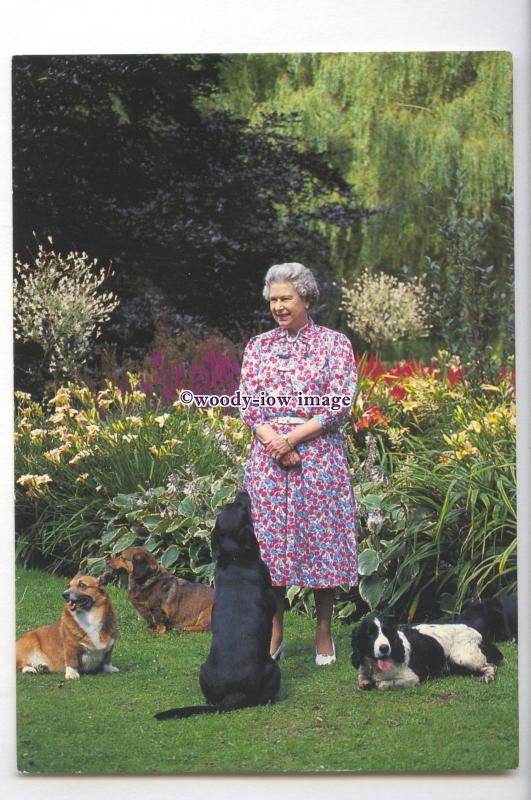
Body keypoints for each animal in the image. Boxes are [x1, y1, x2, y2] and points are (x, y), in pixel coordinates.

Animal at [154, 488, 280, 720]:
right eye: (243, 507)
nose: (242, 490)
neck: (236, 558)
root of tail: (235, 693)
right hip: (274, 670)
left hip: (203, 670)